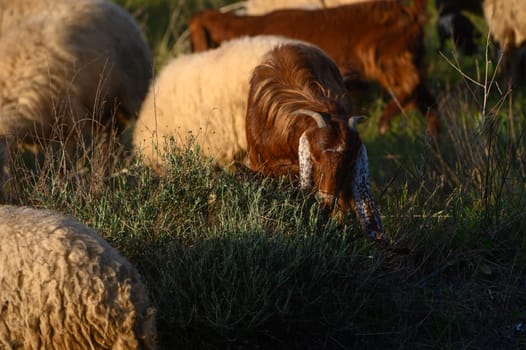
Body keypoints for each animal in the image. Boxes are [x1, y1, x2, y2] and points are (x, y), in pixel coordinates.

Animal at [0, 0, 153, 197]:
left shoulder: (68, 122)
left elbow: (62, 165)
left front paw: (59, 190)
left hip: (121, 100)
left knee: (107, 148)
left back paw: (101, 185)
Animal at [190, 0, 442, 137]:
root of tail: (410, 14)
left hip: (387, 58)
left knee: (412, 85)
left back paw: (385, 120)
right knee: (428, 100)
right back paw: (433, 139)